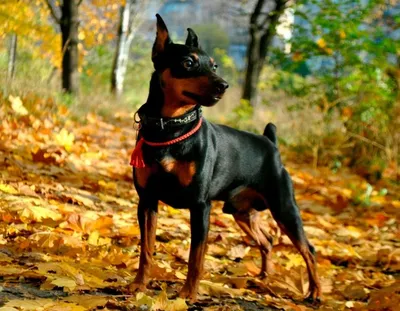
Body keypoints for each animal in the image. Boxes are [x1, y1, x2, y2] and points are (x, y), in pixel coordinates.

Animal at [129, 13, 322, 304]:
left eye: (214, 65)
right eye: (188, 63)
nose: (224, 85)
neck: (172, 128)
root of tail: (271, 144)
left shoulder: (200, 206)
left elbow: (196, 257)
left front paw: (187, 294)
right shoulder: (148, 201)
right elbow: (146, 249)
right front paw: (139, 285)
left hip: (284, 208)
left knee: (308, 249)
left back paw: (315, 292)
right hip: (241, 211)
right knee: (267, 240)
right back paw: (263, 277)